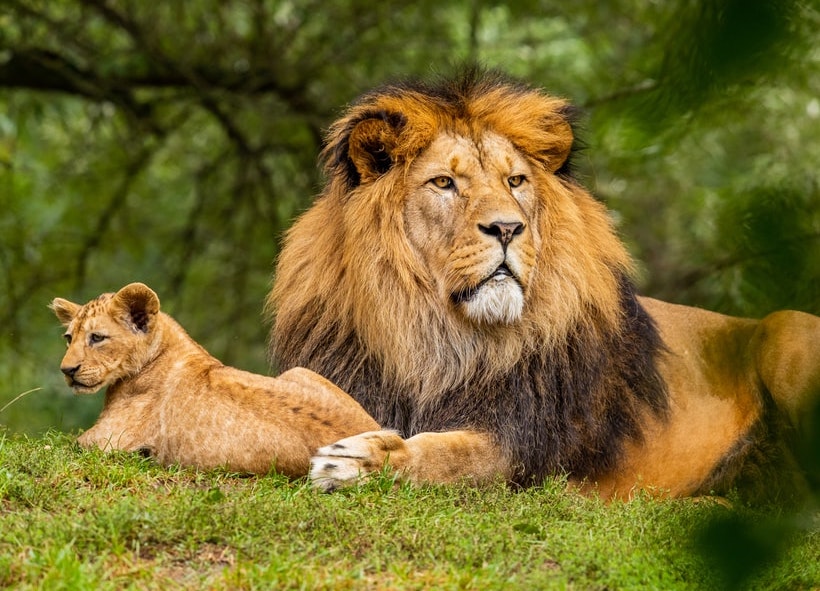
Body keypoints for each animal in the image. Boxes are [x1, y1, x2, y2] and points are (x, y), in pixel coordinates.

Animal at [51, 282, 379, 476]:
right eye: (68, 338)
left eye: (97, 338)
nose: (67, 370)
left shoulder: (105, 440)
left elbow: (59, 446)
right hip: (298, 371)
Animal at [268, 69, 820, 502]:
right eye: (444, 183)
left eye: (515, 182)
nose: (507, 228)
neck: (438, 338)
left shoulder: (524, 445)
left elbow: (448, 456)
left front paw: (361, 461)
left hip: (786, 329)